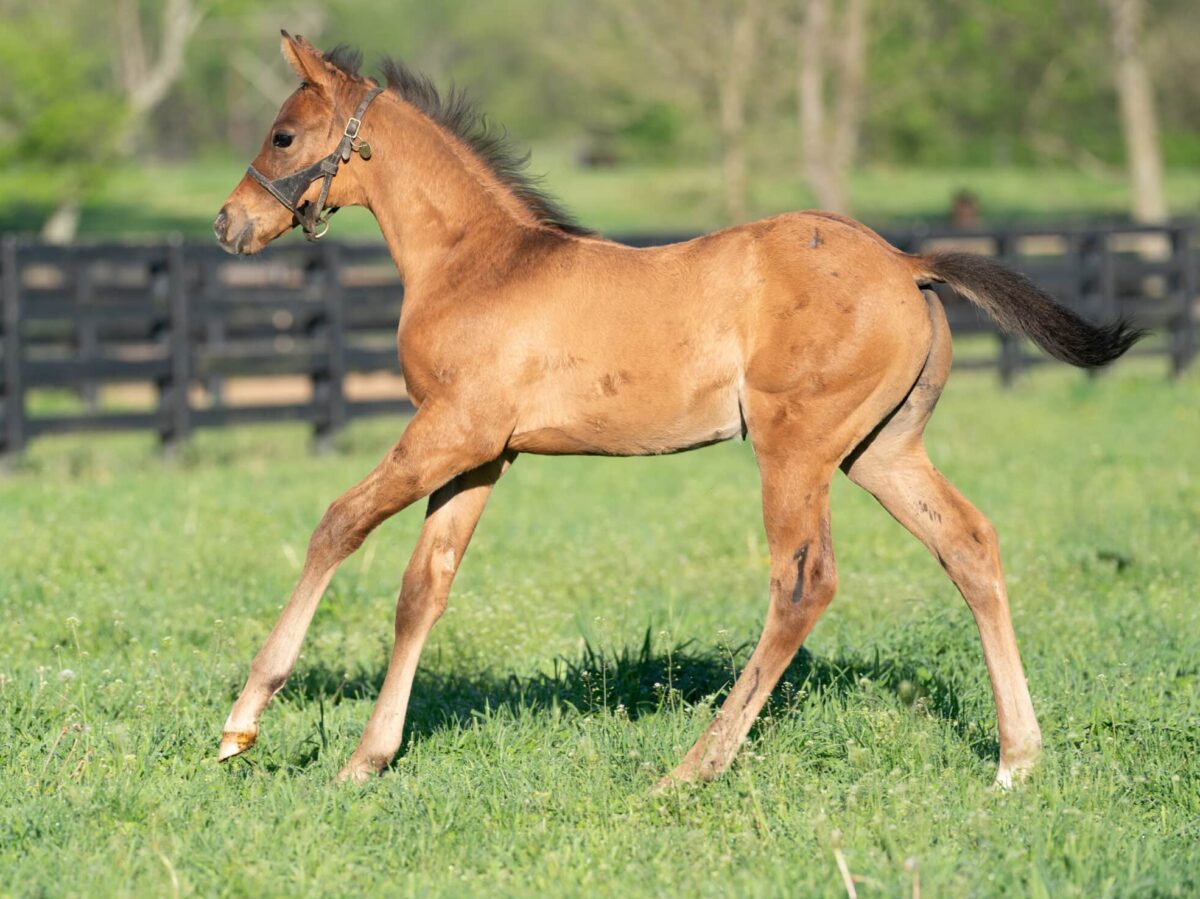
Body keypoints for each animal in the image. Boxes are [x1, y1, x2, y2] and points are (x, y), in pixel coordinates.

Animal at [216, 33, 1142, 787]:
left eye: (283, 135)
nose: (229, 223)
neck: (479, 264)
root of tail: (907, 264)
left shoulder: (449, 432)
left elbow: (337, 524)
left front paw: (243, 723)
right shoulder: (482, 453)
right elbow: (423, 588)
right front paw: (367, 758)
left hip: (795, 449)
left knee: (804, 582)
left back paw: (692, 767)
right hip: (882, 450)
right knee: (970, 545)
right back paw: (1016, 758)